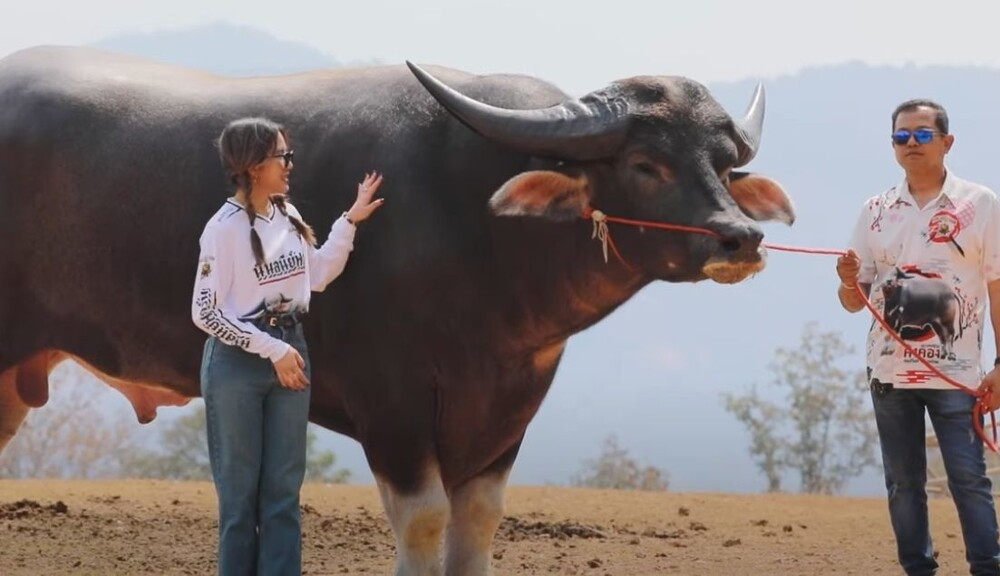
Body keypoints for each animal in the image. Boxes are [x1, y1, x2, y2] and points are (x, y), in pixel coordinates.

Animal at [1, 47, 796, 572]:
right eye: (645, 164)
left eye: (725, 165)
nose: (740, 237)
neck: (479, 230)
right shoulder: (393, 406)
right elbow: (424, 520)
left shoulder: (509, 409)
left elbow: (476, 522)